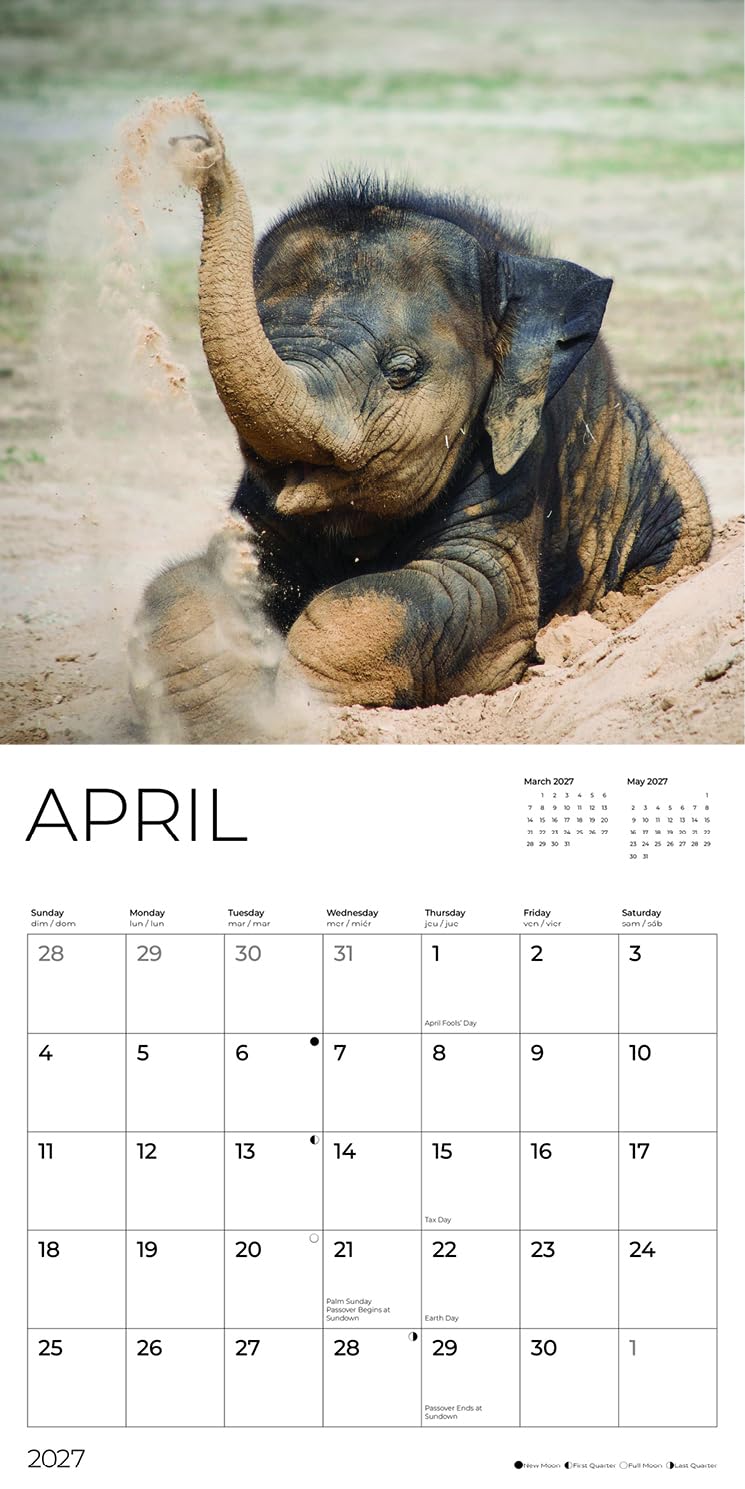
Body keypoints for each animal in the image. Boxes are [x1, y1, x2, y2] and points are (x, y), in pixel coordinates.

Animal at [130, 104, 712, 740]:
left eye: (401, 370)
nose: (196, 142)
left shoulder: (514, 464)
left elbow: (464, 592)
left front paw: (295, 710)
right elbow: (186, 588)